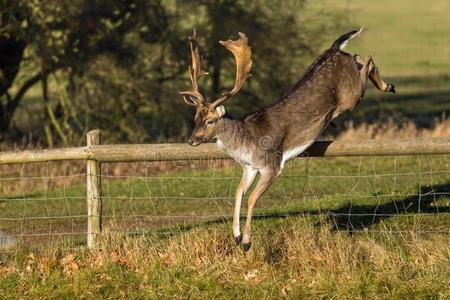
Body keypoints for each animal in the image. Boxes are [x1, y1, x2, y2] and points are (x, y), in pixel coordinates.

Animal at [178, 29, 394, 252]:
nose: (191, 140)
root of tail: (335, 48)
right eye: (196, 118)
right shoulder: (249, 167)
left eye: (210, 120)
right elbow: (238, 193)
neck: (247, 141)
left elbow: (252, 198)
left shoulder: (272, 165)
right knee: (359, 57)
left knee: (367, 59)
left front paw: (246, 241)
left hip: (349, 98)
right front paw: (236, 235)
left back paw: (388, 85)